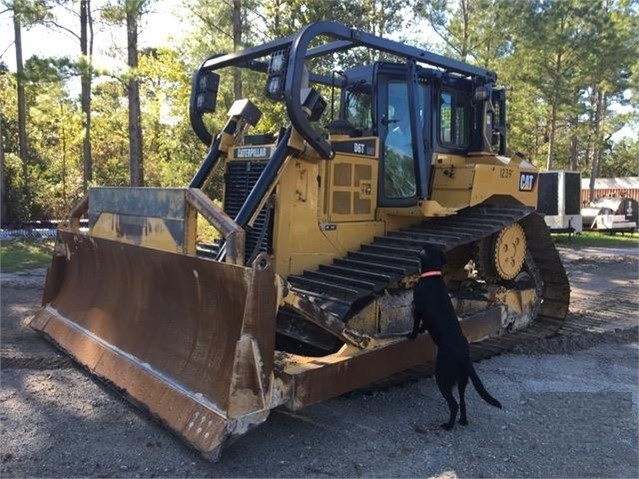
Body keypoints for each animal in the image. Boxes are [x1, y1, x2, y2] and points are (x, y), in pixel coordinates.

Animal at [410, 246, 504, 430]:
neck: (432, 274)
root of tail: (464, 356)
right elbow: (423, 325)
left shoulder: (417, 308)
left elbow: (416, 325)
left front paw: (412, 335)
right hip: (462, 381)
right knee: (462, 401)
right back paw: (462, 421)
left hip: (443, 377)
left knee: (454, 404)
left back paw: (448, 425)